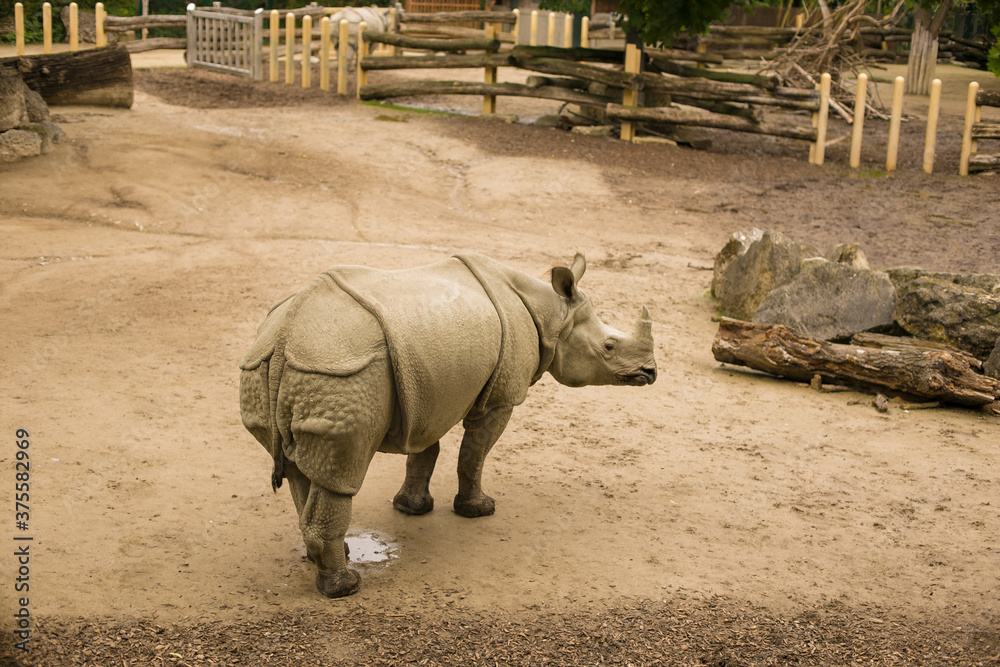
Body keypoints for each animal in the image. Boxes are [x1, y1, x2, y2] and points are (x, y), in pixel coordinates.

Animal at [239, 253, 656, 599]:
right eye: (609, 347)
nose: (651, 373)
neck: (553, 314)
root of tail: (285, 336)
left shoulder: (426, 389)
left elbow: (427, 449)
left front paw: (412, 508)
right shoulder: (501, 397)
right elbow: (474, 452)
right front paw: (479, 510)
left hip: (272, 366)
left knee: (303, 469)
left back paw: (329, 560)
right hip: (341, 374)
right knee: (341, 472)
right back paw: (344, 588)